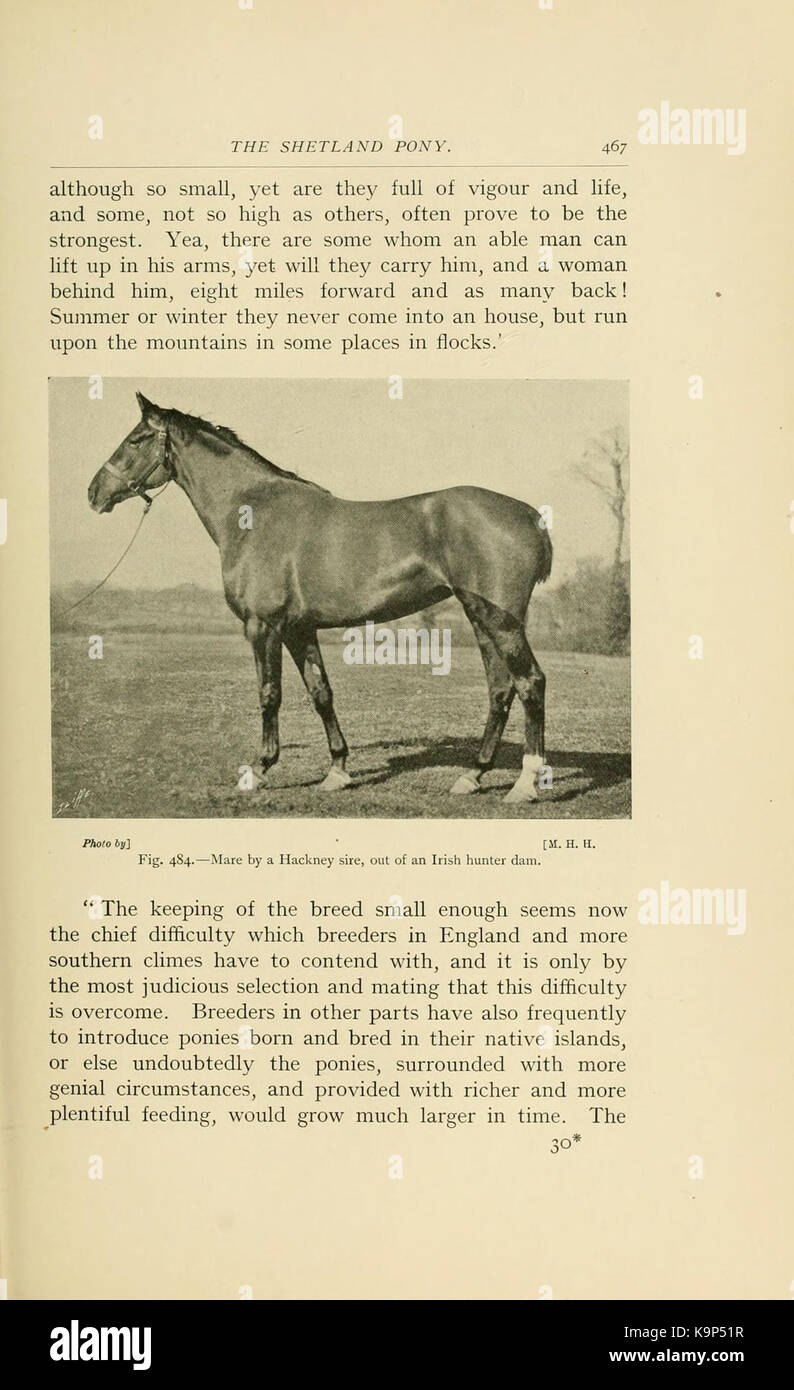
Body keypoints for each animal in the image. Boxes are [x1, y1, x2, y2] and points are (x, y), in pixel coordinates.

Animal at [87, 392, 553, 803]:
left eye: (135, 439)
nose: (94, 493)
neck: (253, 513)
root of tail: (531, 515)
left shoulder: (263, 626)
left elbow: (269, 694)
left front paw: (260, 769)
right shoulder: (299, 629)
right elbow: (321, 693)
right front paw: (337, 771)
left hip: (501, 620)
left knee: (530, 683)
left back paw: (525, 784)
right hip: (478, 617)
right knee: (500, 689)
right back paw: (472, 776)